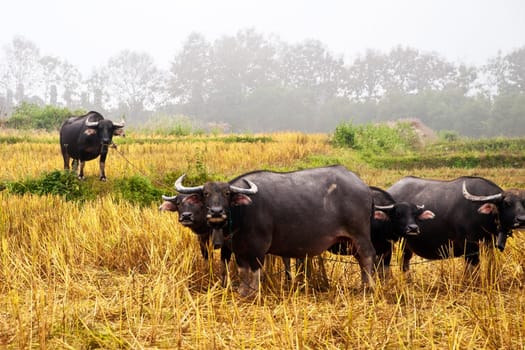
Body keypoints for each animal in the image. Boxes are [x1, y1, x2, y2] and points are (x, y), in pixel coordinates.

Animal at [176, 165, 376, 296]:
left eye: (227, 194)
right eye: (206, 194)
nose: (216, 212)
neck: (243, 212)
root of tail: (363, 187)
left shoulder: (259, 247)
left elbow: (255, 271)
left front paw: (255, 293)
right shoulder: (239, 250)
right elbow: (243, 271)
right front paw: (243, 292)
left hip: (360, 235)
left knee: (367, 256)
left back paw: (369, 289)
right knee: (360, 260)